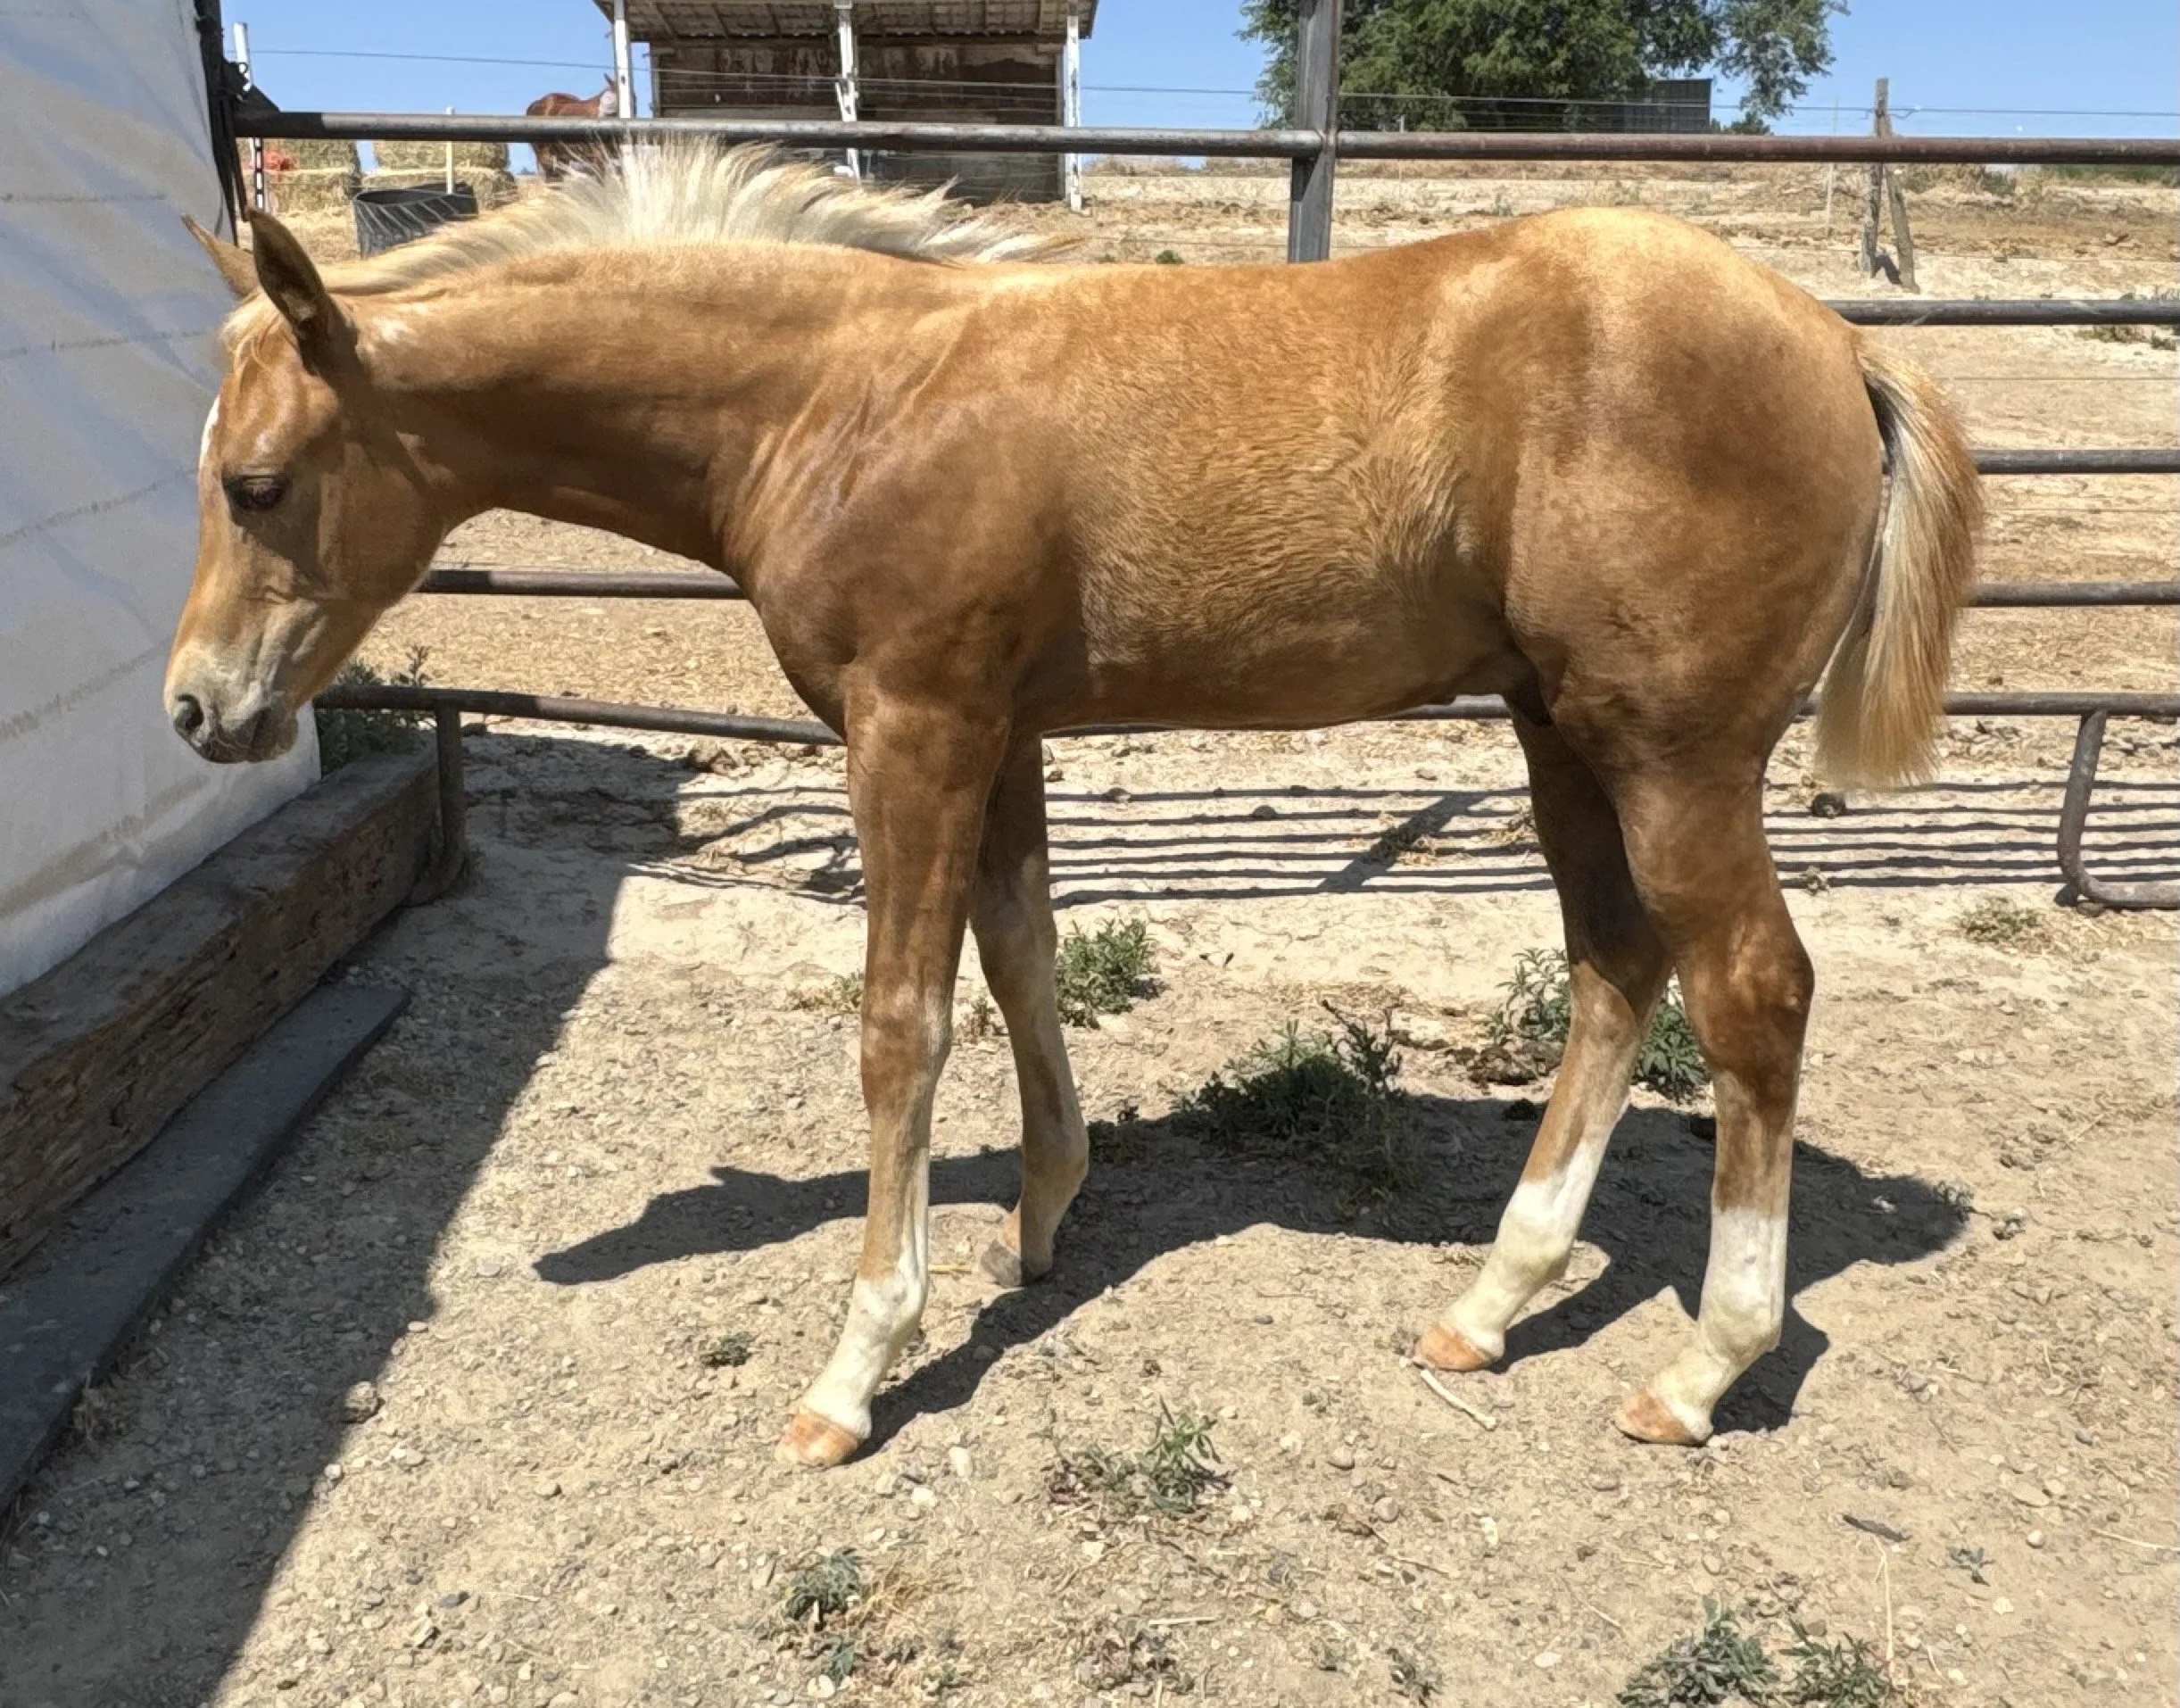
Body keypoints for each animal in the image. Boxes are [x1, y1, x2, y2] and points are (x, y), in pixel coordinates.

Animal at [168, 145, 1980, 1469]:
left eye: (256, 484)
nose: (197, 709)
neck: (839, 399)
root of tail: (1837, 342)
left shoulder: (911, 725)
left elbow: (900, 1019)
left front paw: (856, 1366)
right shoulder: (1002, 729)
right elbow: (1022, 951)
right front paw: (1039, 1220)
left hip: (1673, 752)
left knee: (1749, 992)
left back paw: (1699, 1366)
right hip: (1559, 731)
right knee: (1614, 964)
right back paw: (1490, 1300)